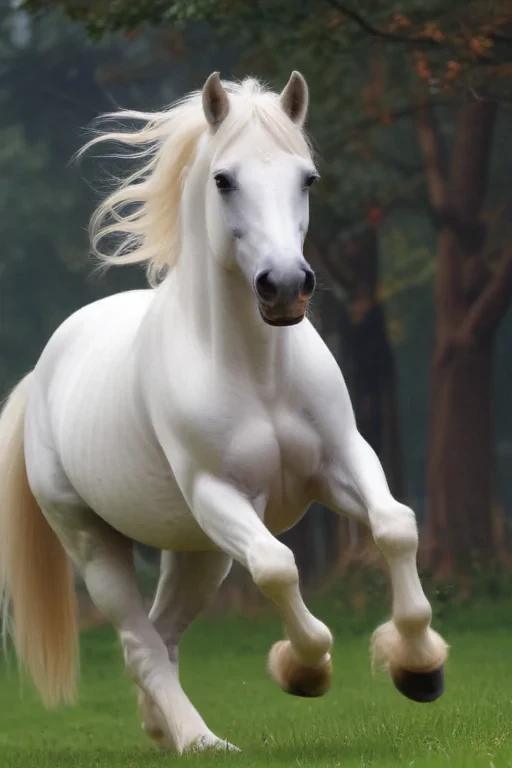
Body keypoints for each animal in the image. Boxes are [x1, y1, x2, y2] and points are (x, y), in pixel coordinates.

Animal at [0, 71, 448, 754]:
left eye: (307, 178)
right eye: (223, 180)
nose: (285, 286)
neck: (258, 374)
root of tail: (40, 374)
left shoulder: (343, 461)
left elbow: (396, 526)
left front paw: (419, 667)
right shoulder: (220, 495)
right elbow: (277, 568)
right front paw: (303, 670)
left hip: (196, 552)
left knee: (163, 633)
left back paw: (164, 730)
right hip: (94, 543)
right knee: (140, 643)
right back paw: (200, 741)